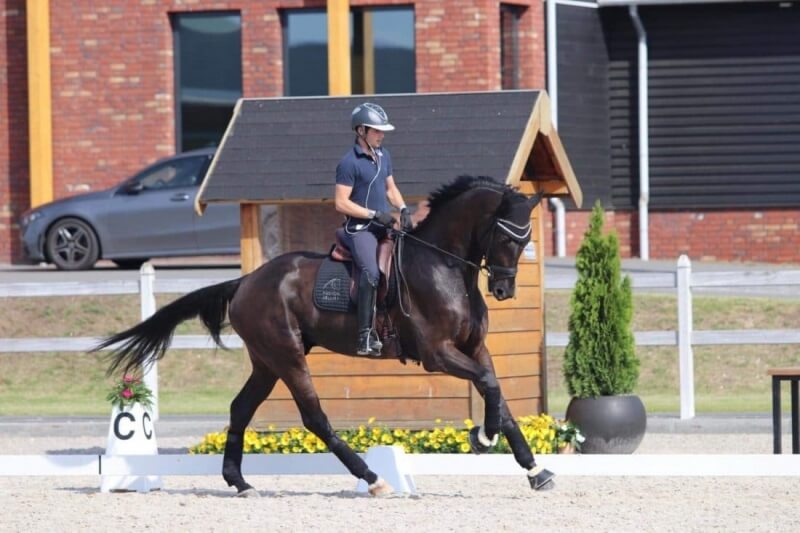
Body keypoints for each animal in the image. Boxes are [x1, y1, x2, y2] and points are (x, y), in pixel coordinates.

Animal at [95, 175, 555, 496]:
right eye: (505, 235)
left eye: (527, 238)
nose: (504, 289)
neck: (444, 267)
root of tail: (244, 282)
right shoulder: (437, 353)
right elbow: (489, 384)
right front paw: (483, 437)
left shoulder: (474, 347)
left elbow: (498, 392)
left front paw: (534, 470)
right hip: (287, 357)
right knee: (314, 417)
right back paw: (373, 478)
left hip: (267, 362)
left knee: (240, 408)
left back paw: (240, 482)